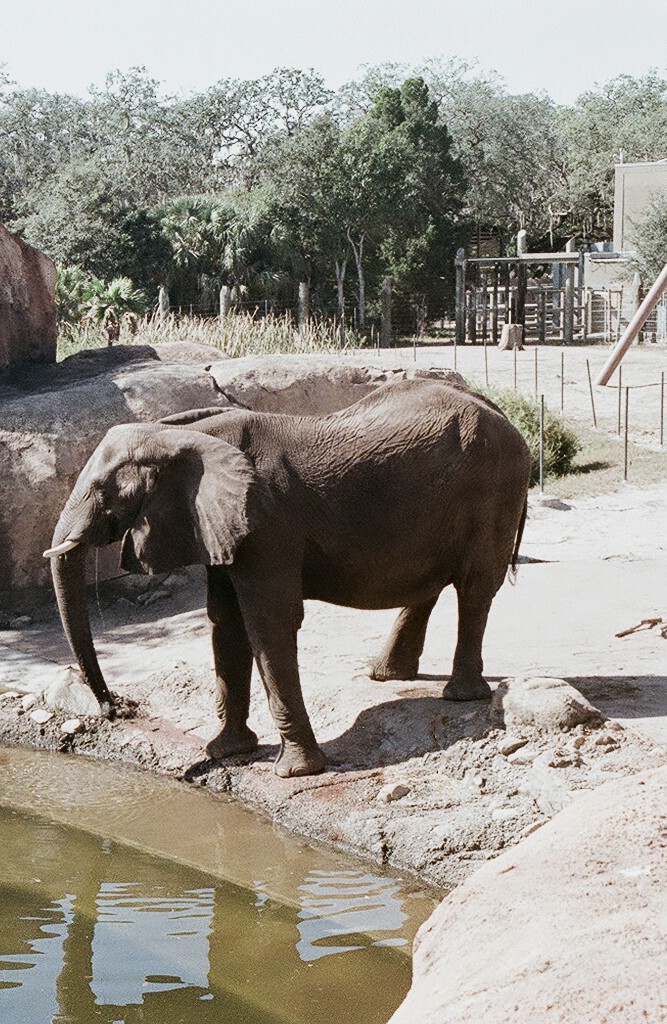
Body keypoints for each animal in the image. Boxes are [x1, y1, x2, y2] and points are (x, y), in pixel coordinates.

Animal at [45, 378, 531, 778]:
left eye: (108, 491)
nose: (114, 709)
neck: (181, 436)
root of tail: (502, 413)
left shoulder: (267, 524)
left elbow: (267, 620)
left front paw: (295, 771)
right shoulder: (219, 522)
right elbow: (225, 621)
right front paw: (226, 752)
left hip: (495, 488)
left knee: (474, 585)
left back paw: (460, 695)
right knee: (430, 581)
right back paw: (385, 675)